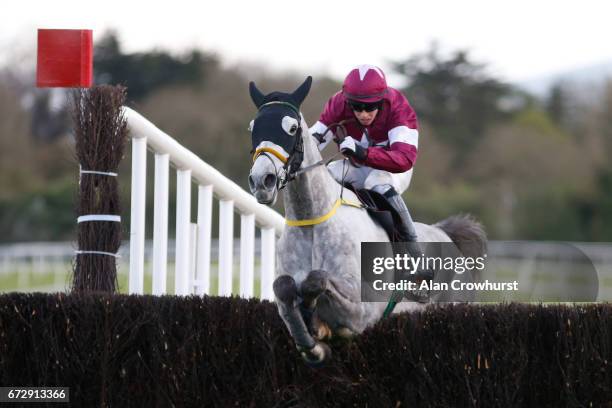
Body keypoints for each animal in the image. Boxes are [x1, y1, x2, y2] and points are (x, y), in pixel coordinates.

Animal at [246, 77, 486, 366]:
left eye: (292, 128)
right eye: (252, 127)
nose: (262, 181)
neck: (312, 219)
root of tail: (447, 235)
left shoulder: (363, 310)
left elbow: (317, 280)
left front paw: (314, 319)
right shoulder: (286, 291)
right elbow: (284, 287)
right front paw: (313, 344)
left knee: (382, 186)